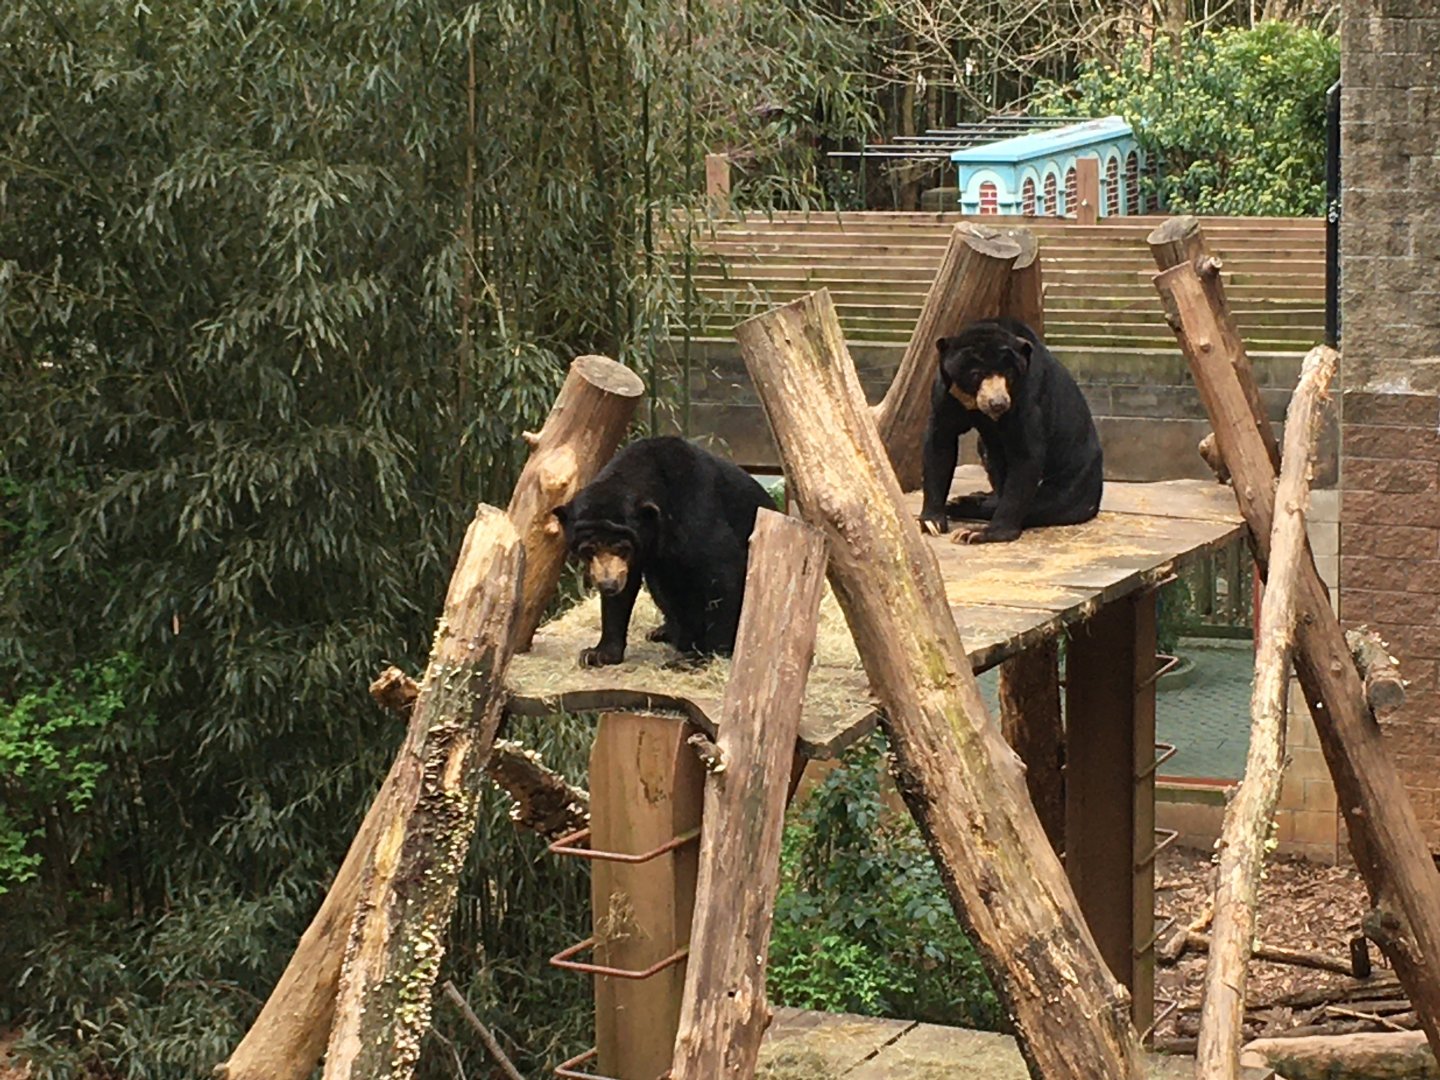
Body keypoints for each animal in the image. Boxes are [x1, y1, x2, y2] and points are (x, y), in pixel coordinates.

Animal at [553, 436, 774, 667]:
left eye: (622, 548)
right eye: (587, 550)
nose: (608, 584)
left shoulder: (698, 512)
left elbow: (724, 571)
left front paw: (703, 655)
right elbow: (624, 591)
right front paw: (596, 654)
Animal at [918, 317, 1103, 544]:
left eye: (1008, 373)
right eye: (976, 374)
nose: (998, 403)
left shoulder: (1027, 395)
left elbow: (1025, 456)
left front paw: (979, 533)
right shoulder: (947, 393)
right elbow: (940, 443)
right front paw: (931, 522)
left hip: (1070, 480)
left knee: (1045, 503)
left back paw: (966, 505)